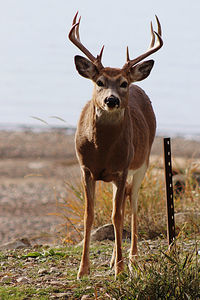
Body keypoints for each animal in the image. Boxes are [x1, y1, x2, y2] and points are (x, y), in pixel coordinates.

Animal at [68, 11, 162, 278]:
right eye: (99, 81)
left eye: (123, 83)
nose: (112, 100)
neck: (102, 151)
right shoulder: (86, 169)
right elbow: (90, 216)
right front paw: (83, 270)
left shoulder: (121, 170)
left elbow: (117, 216)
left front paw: (120, 269)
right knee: (120, 204)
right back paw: (112, 259)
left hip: (142, 163)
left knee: (132, 204)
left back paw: (131, 258)